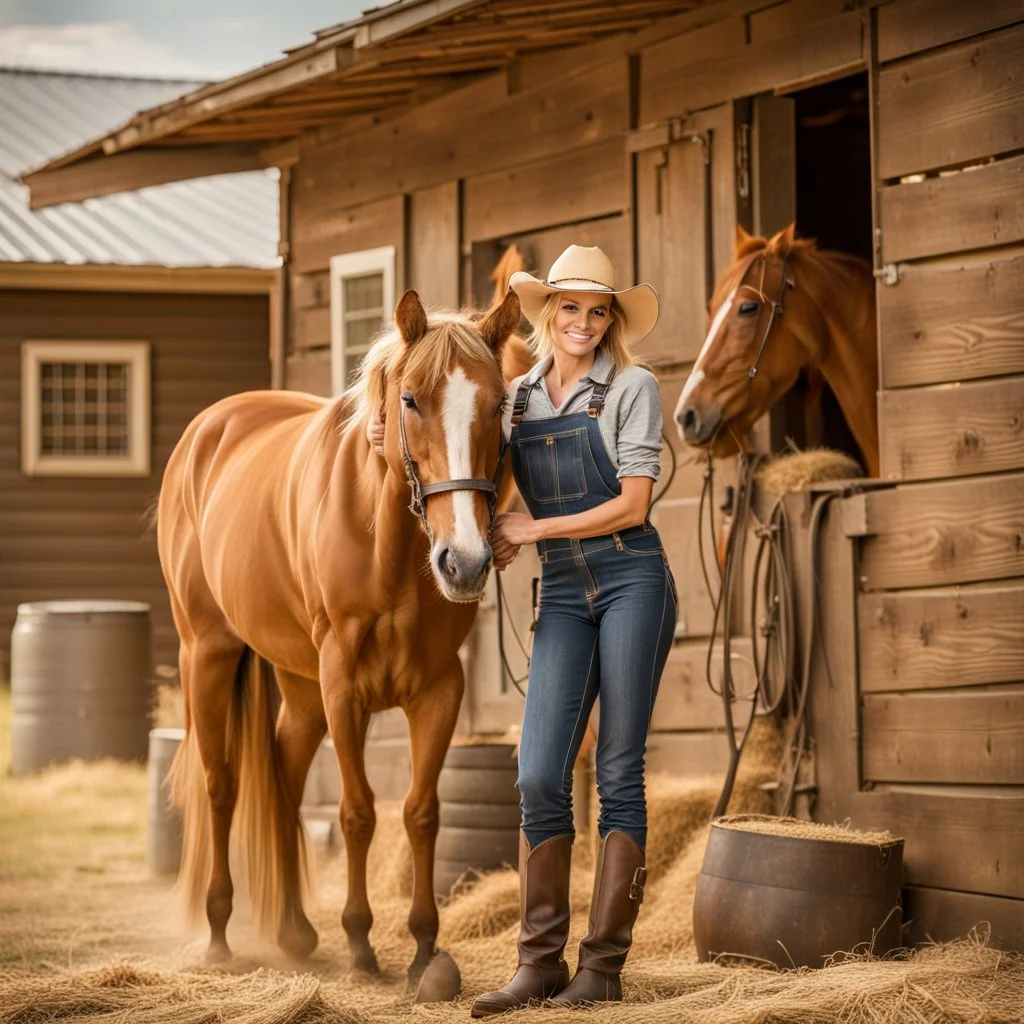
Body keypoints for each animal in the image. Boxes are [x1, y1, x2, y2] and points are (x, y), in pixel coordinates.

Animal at [157, 282, 536, 991]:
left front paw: (423, 946)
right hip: (209, 655)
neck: (382, 543)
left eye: (501, 403)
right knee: (222, 784)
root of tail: (208, 428)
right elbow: (358, 811)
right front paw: (361, 944)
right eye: (410, 399)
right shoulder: (344, 688)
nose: (465, 561)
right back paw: (220, 932)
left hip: (299, 685)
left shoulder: (438, 690)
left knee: (282, 773)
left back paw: (293, 930)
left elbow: (421, 811)